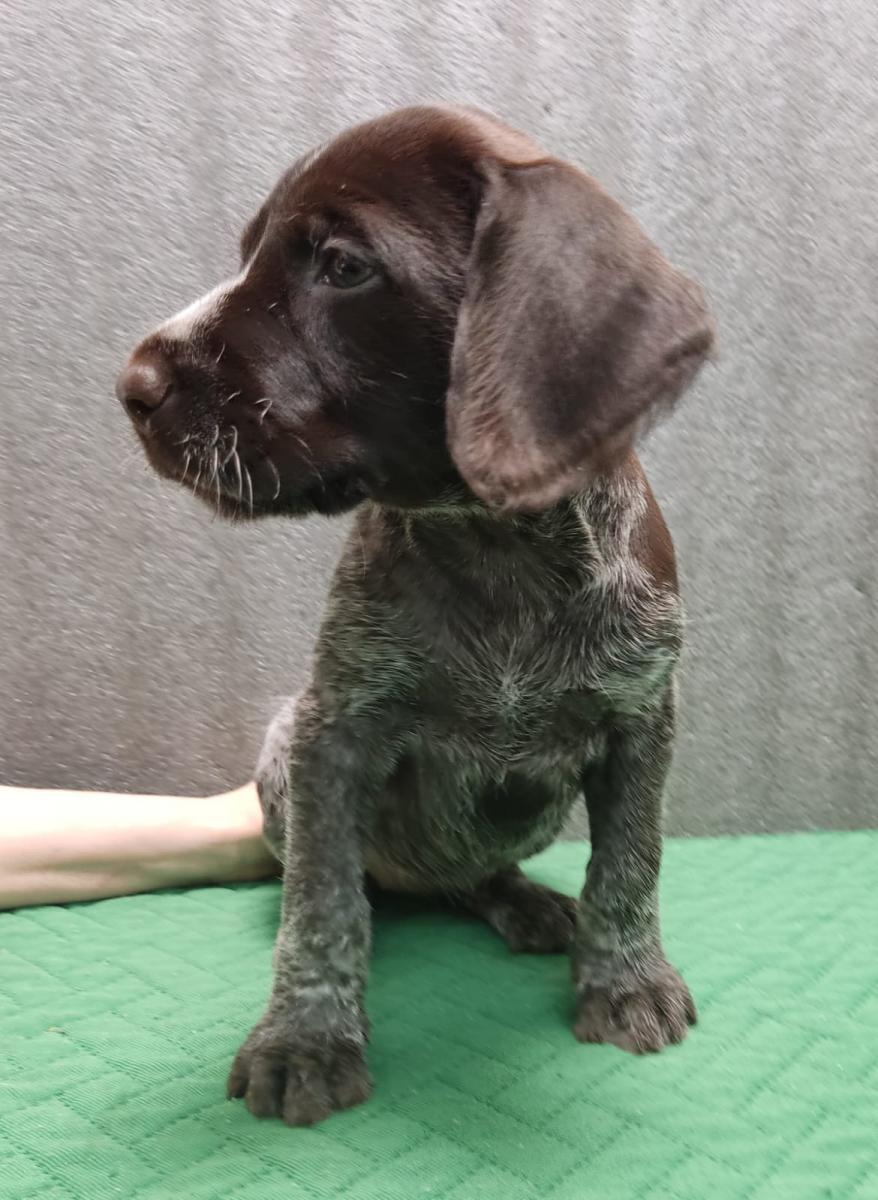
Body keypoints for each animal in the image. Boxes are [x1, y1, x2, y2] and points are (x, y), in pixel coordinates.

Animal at [117, 105, 714, 1127]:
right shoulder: (331, 733)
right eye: (249, 256)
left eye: (341, 266)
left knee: (472, 878)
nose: (131, 388)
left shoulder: (644, 718)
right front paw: (306, 1037)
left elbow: (632, 861)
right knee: (361, 885)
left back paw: (525, 904)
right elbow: (321, 905)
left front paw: (626, 980)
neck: (495, 546)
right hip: (281, 760)